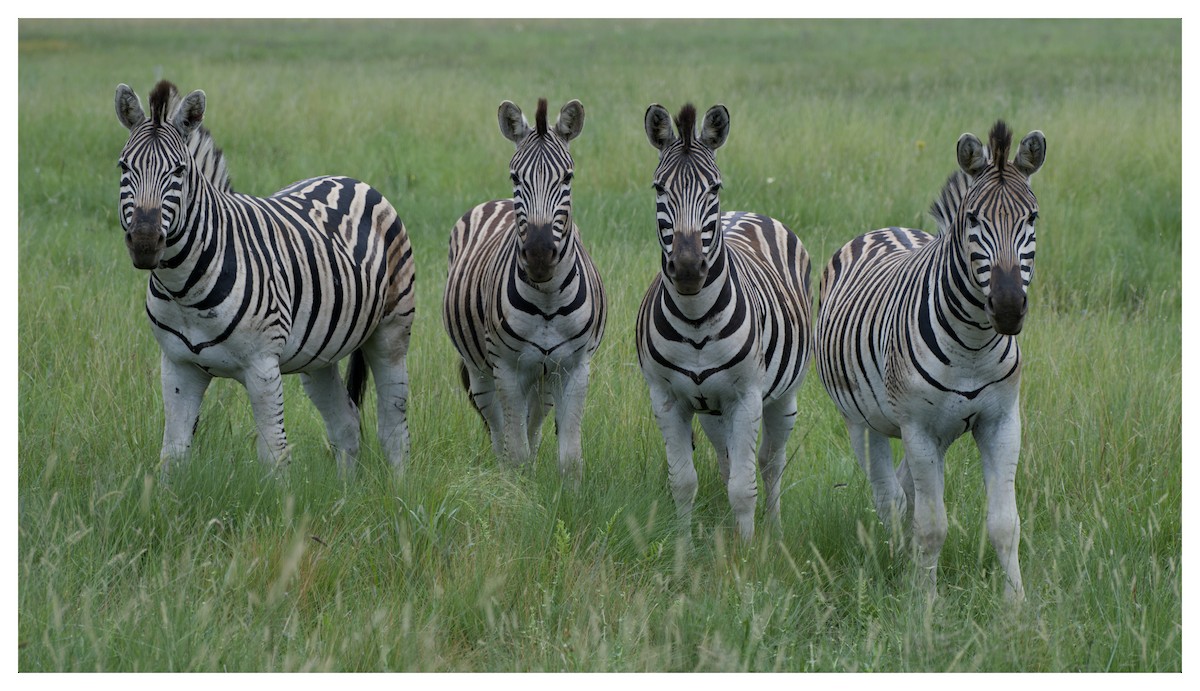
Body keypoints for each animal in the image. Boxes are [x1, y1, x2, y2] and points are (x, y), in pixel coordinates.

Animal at [114, 80, 415, 477]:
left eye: (178, 171)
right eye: (123, 166)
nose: (145, 241)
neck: (184, 288)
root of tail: (351, 180)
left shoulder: (262, 367)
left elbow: (275, 455)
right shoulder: (178, 366)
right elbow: (173, 455)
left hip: (391, 331)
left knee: (393, 429)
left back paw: (400, 489)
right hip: (319, 356)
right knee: (346, 423)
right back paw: (346, 491)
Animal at [442, 99, 606, 485]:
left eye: (568, 177)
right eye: (515, 177)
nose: (539, 254)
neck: (547, 297)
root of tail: (497, 202)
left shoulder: (575, 368)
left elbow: (569, 458)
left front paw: (566, 495)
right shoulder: (506, 367)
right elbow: (513, 450)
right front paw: (515, 493)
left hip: (544, 376)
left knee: (533, 424)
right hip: (481, 371)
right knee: (499, 429)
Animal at [636, 103, 812, 540]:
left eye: (714, 188)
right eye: (659, 189)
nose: (686, 269)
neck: (695, 319)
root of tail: (747, 212)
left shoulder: (746, 397)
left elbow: (744, 488)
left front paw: (747, 551)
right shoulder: (666, 398)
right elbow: (683, 482)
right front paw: (683, 545)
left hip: (783, 396)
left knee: (770, 463)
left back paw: (775, 531)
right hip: (711, 407)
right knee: (728, 458)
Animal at [815, 121, 1046, 601]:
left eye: (1032, 218)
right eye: (973, 219)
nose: (1008, 308)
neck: (973, 345)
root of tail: (886, 229)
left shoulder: (1002, 421)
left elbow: (1005, 525)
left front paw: (1017, 607)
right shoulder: (918, 427)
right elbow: (931, 525)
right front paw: (924, 604)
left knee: (903, 491)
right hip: (863, 421)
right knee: (890, 496)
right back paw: (894, 561)